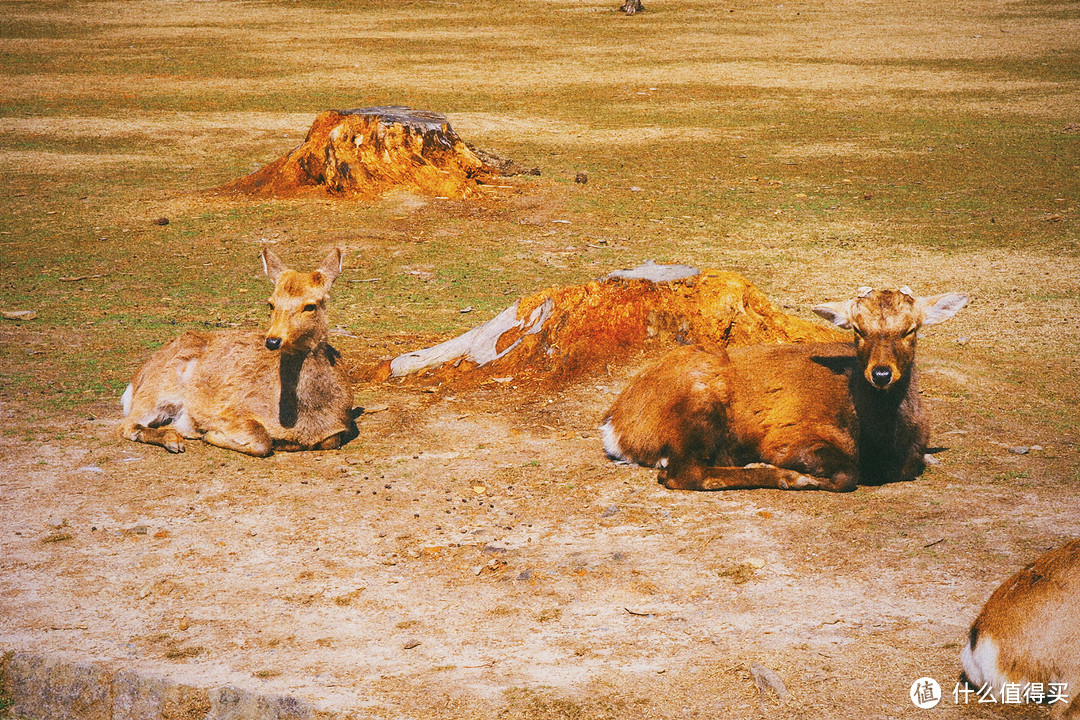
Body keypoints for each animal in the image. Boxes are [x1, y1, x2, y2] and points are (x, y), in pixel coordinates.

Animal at [118, 248, 356, 455]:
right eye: (271, 303)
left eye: (310, 306)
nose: (273, 340)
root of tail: (136, 380)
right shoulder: (230, 411)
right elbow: (263, 440)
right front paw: (211, 435)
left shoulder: (339, 427)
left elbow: (332, 440)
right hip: (157, 389)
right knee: (127, 425)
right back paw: (174, 439)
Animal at [600, 284, 972, 490]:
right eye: (858, 330)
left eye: (910, 329)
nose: (881, 374)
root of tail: (615, 426)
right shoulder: (788, 435)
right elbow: (846, 473)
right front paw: (790, 473)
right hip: (698, 402)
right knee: (684, 473)